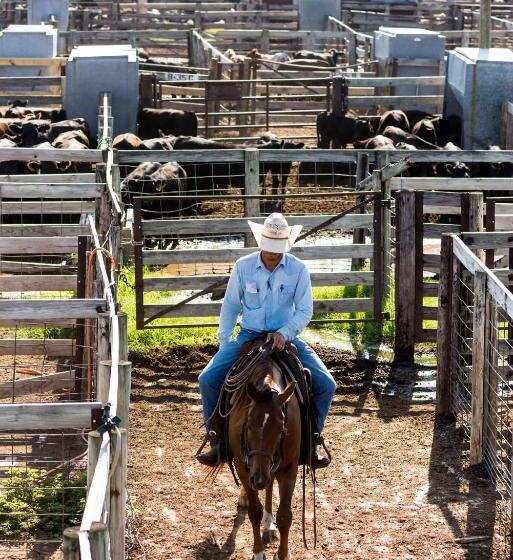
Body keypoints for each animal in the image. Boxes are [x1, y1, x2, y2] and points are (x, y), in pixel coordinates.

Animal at [228, 350, 300, 560]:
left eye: (281, 428)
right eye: (250, 422)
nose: (258, 478)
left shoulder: (289, 467)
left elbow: (284, 516)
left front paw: (283, 554)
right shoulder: (242, 466)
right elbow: (254, 512)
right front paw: (258, 551)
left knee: (269, 486)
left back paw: (269, 526)